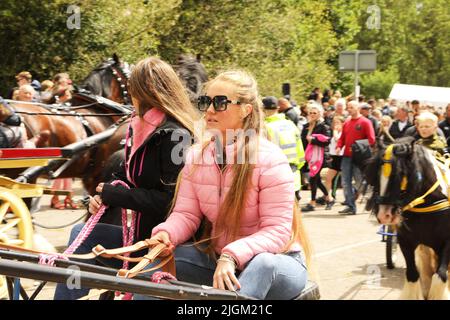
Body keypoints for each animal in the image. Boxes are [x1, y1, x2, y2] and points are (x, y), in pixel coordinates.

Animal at [366, 136, 450, 298]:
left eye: (401, 174)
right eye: (377, 174)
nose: (384, 215)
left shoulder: (447, 243)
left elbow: (441, 275)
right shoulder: (406, 241)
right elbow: (412, 275)